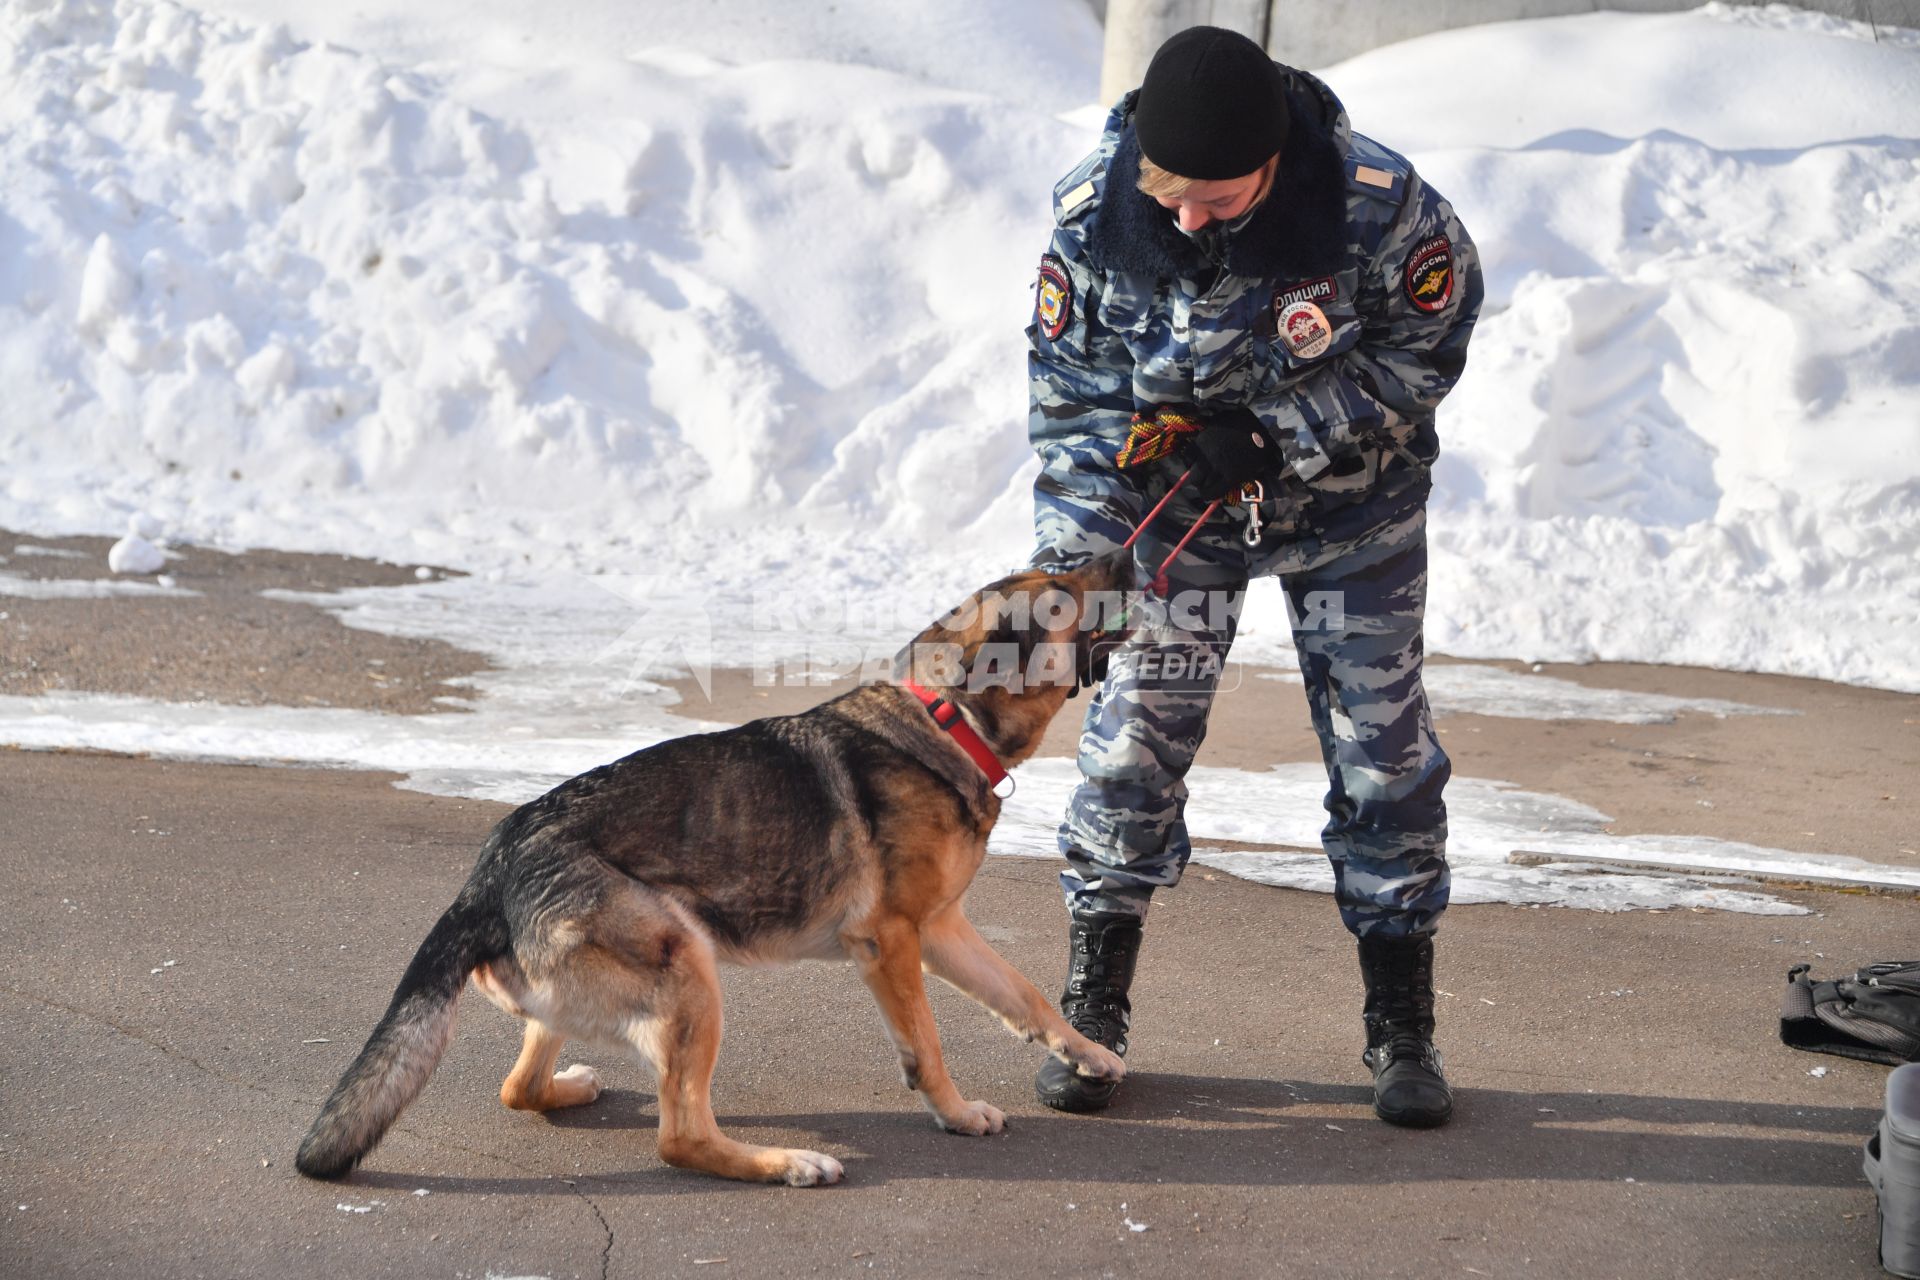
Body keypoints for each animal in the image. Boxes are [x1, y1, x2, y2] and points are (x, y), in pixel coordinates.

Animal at [293, 556, 1128, 1189]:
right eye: (1062, 586)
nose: (1124, 552)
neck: (947, 717)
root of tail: (487, 878)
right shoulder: (892, 942)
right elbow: (928, 1048)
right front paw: (952, 1115)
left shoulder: (942, 931)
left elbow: (1024, 997)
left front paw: (1087, 1054)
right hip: (689, 968)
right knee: (680, 1138)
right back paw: (788, 1163)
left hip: (596, 997)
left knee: (520, 1086)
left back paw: (572, 1086)